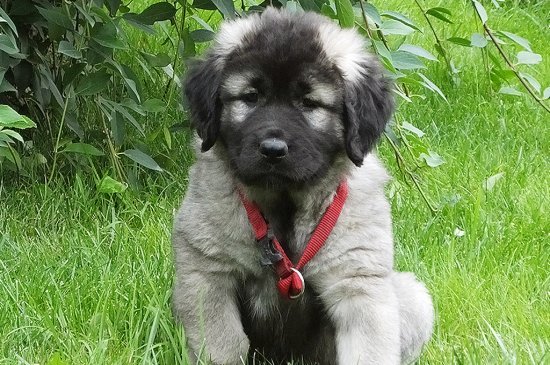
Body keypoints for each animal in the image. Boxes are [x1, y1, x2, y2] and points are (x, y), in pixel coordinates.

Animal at [172, 6, 436, 364]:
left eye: (309, 103)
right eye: (251, 97)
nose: (272, 150)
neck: (286, 203)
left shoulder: (358, 283)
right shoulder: (207, 272)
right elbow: (222, 345)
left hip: (413, 299)